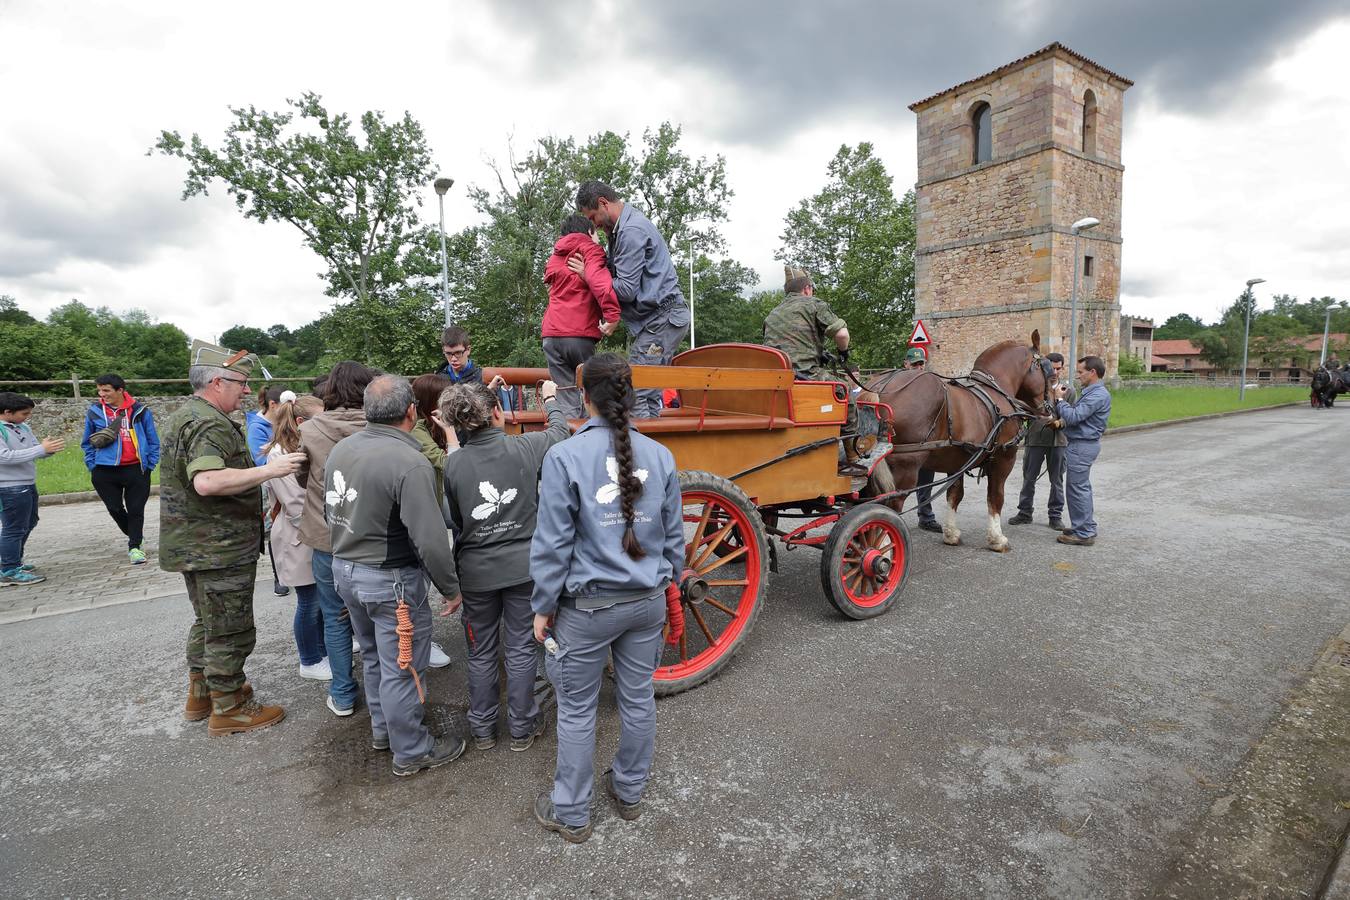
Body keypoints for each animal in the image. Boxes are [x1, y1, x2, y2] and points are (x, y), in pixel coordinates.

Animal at [869, 333, 1058, 553]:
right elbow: (996, 496)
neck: (997, 390)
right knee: (888, 507)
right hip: (905, 467)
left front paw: (951, 534)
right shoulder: (1003, 458)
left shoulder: (956, 461)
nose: (1052, 410)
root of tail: (880, 387)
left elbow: (954, 494)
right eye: (1051, 376)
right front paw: (997, 538)